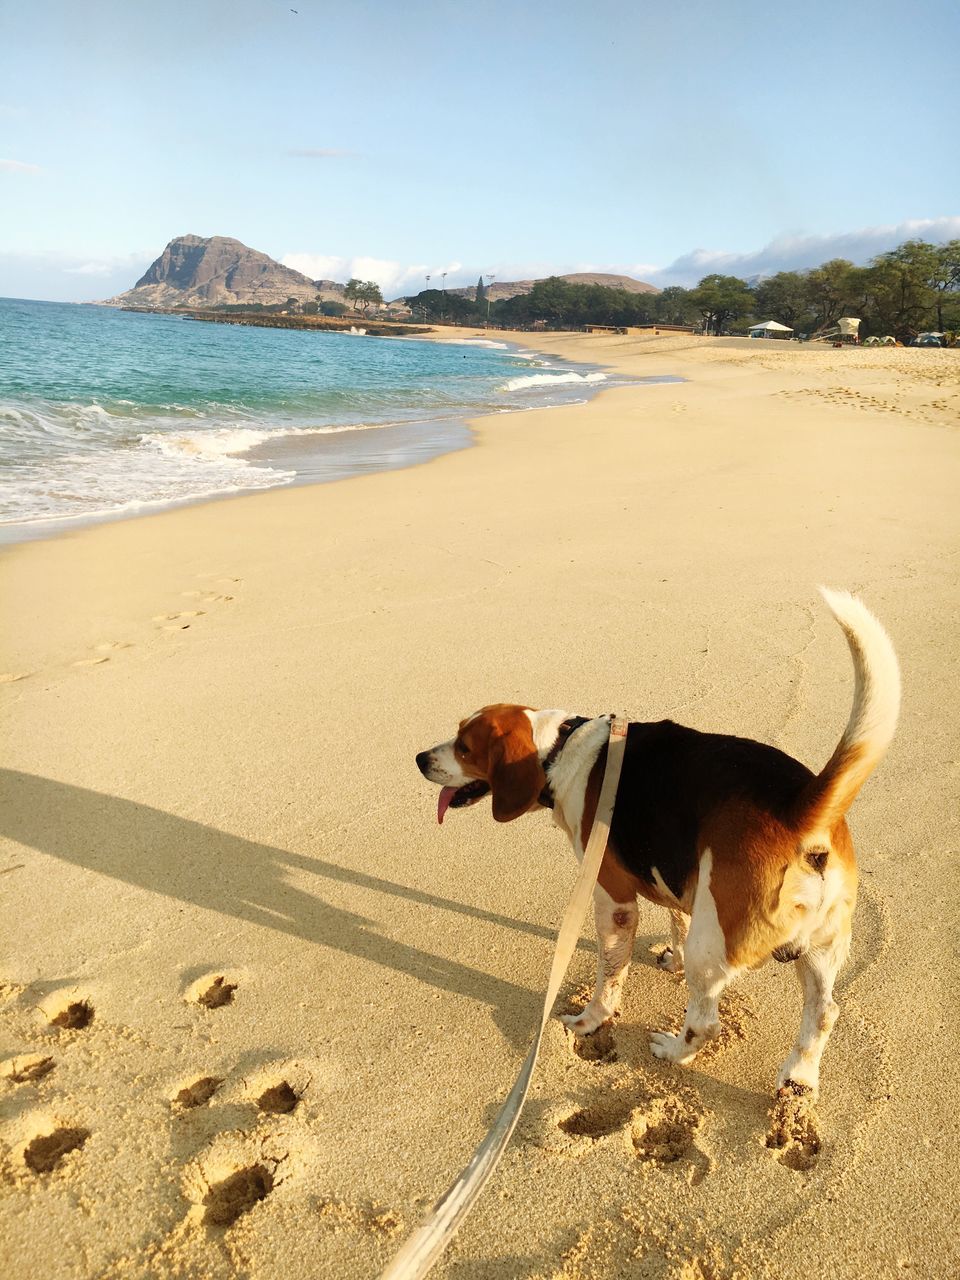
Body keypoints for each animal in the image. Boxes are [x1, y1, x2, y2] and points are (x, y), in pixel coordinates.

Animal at [414, 588, 901, 1100]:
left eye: (465, 747)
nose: (420, 759)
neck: (560, 750)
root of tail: (801, 807)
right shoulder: (679, 877)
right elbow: (676, 923)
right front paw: (672, 958)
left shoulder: (613, 897)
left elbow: (610, 973)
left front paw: (590, 1021)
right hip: (819, 948)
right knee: (823, 1012)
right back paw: (798, 1077)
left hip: (716, 944)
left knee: (706, 1022)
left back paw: (672, 1051)